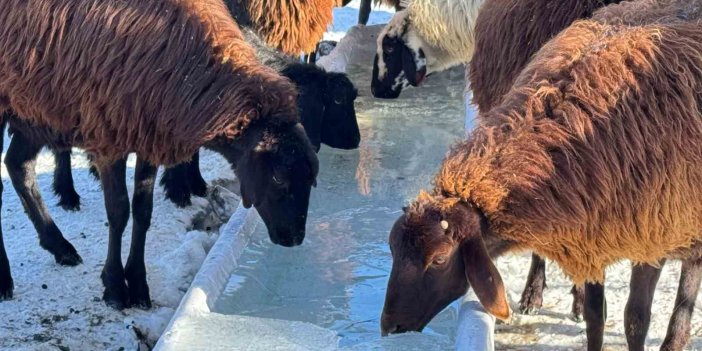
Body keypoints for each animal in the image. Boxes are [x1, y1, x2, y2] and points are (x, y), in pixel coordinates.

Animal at [0, 0, 320, 310]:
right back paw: (6, 277)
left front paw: (139, 285)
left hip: (32, 112)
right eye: (278, 178)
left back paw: (60, 247)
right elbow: (118, 213)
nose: (294, 238)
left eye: (312, 178)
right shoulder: (108, 140)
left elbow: (143, 211)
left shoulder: (148, 141)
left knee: (18, 166)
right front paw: (115, 288)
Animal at [380, 14, 702, 351]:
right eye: (392, 248)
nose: (389, 326)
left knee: (689, 277)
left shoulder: (654, 238)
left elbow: (635, 320)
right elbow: (595, 315)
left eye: (440, 259)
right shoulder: (593, 239)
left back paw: (675, 338)